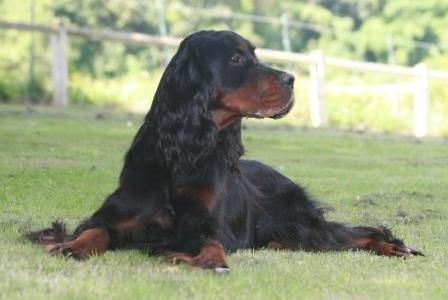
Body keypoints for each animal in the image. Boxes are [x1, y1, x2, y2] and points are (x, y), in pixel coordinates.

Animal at [26, 30, 422, 272]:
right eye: (235, 59)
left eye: (254, 55)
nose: (292, 80)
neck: (185, 152)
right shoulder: (122, 214)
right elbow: (96, 230)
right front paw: (72, 246)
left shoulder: (206, 225)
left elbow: (213, 243)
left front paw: (209, 260)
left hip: (295, 221)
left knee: (356, 233)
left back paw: (394, 247)